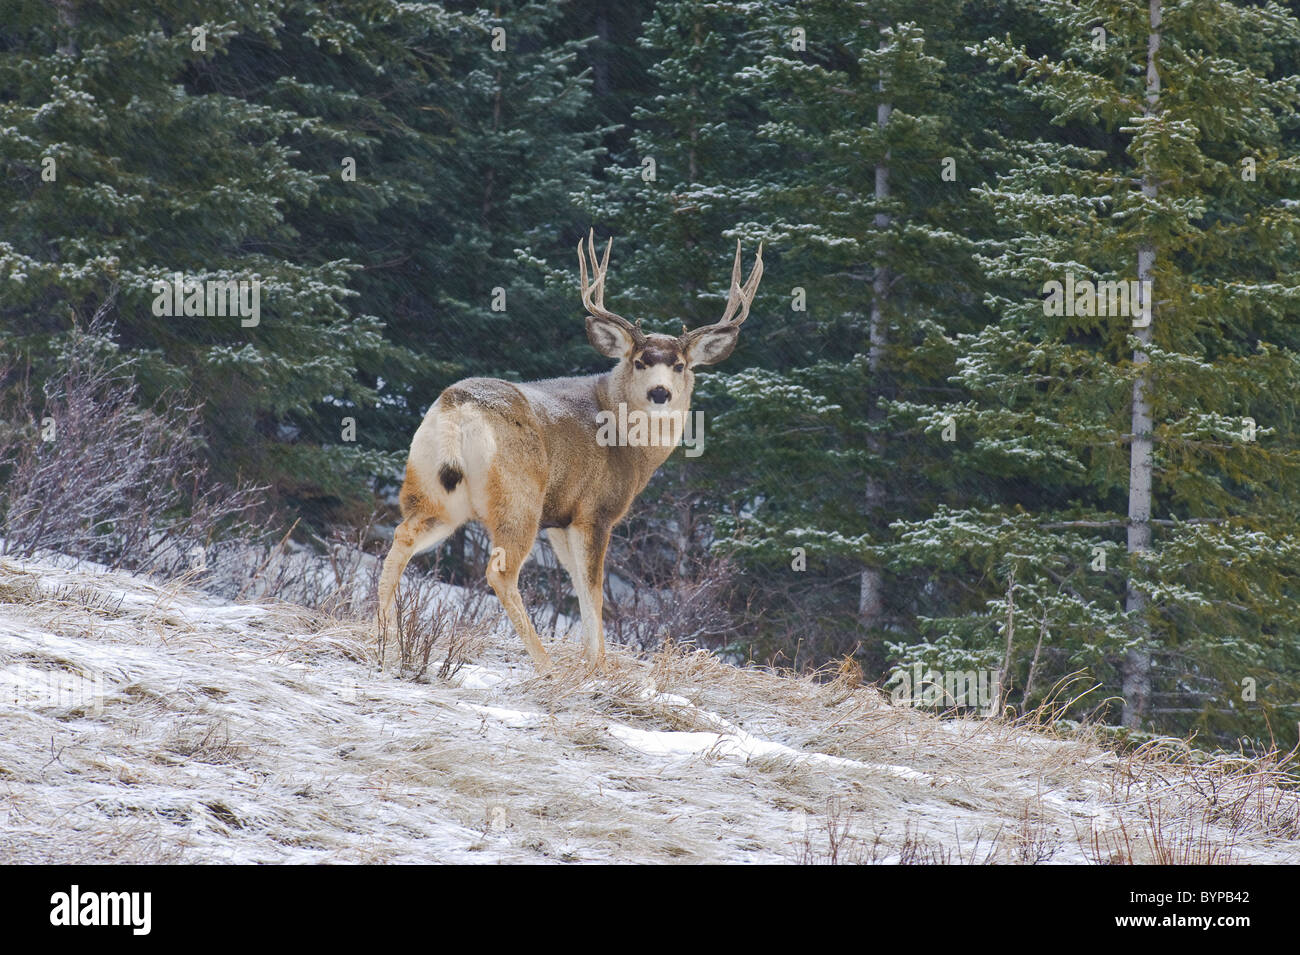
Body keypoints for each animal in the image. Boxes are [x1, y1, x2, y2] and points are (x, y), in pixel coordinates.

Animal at [377, 229, 759, 670]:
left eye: (680, 365)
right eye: (640, 361)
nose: (660, 392)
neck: (629, 443)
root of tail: (459, 406)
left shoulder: (561, 518)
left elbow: (578, 583)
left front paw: (592, 661)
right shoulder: (596, 510)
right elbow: (593, 589)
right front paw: (599, 666)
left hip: (434, 489)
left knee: (403, 535)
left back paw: (384, 637)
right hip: (519, 495)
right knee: (500, 571)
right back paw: (544, 663)